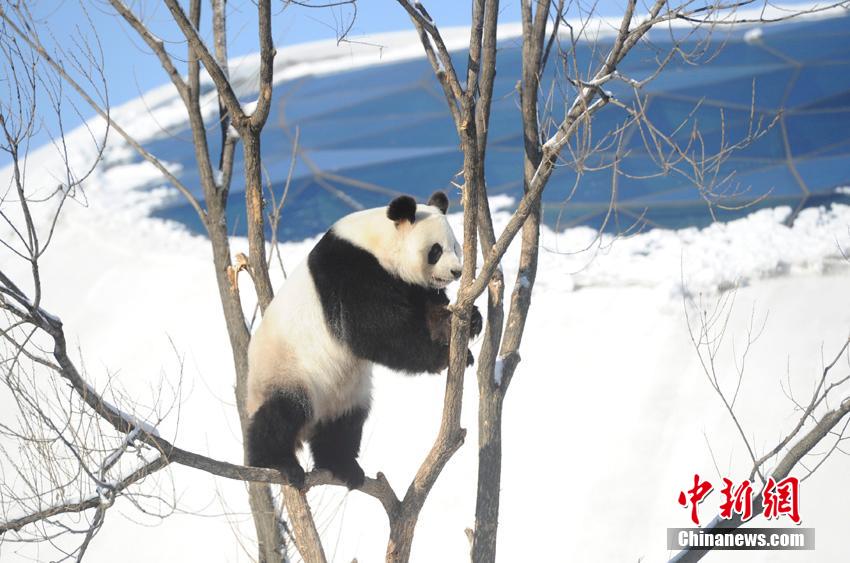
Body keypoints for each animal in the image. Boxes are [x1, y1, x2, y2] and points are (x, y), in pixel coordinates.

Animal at [245, 191, 481, 489]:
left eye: (456, 247)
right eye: (436, 250)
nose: (456, 272)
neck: (376, 243)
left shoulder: (406, 284)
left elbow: (427, 311)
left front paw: (469, 322)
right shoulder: (350, 272)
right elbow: (374, 332)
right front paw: (441, 357)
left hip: (347, 394)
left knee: (344, 426)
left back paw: (342, 466)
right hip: (286, 371)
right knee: (281, 414)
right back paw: (276, 462)